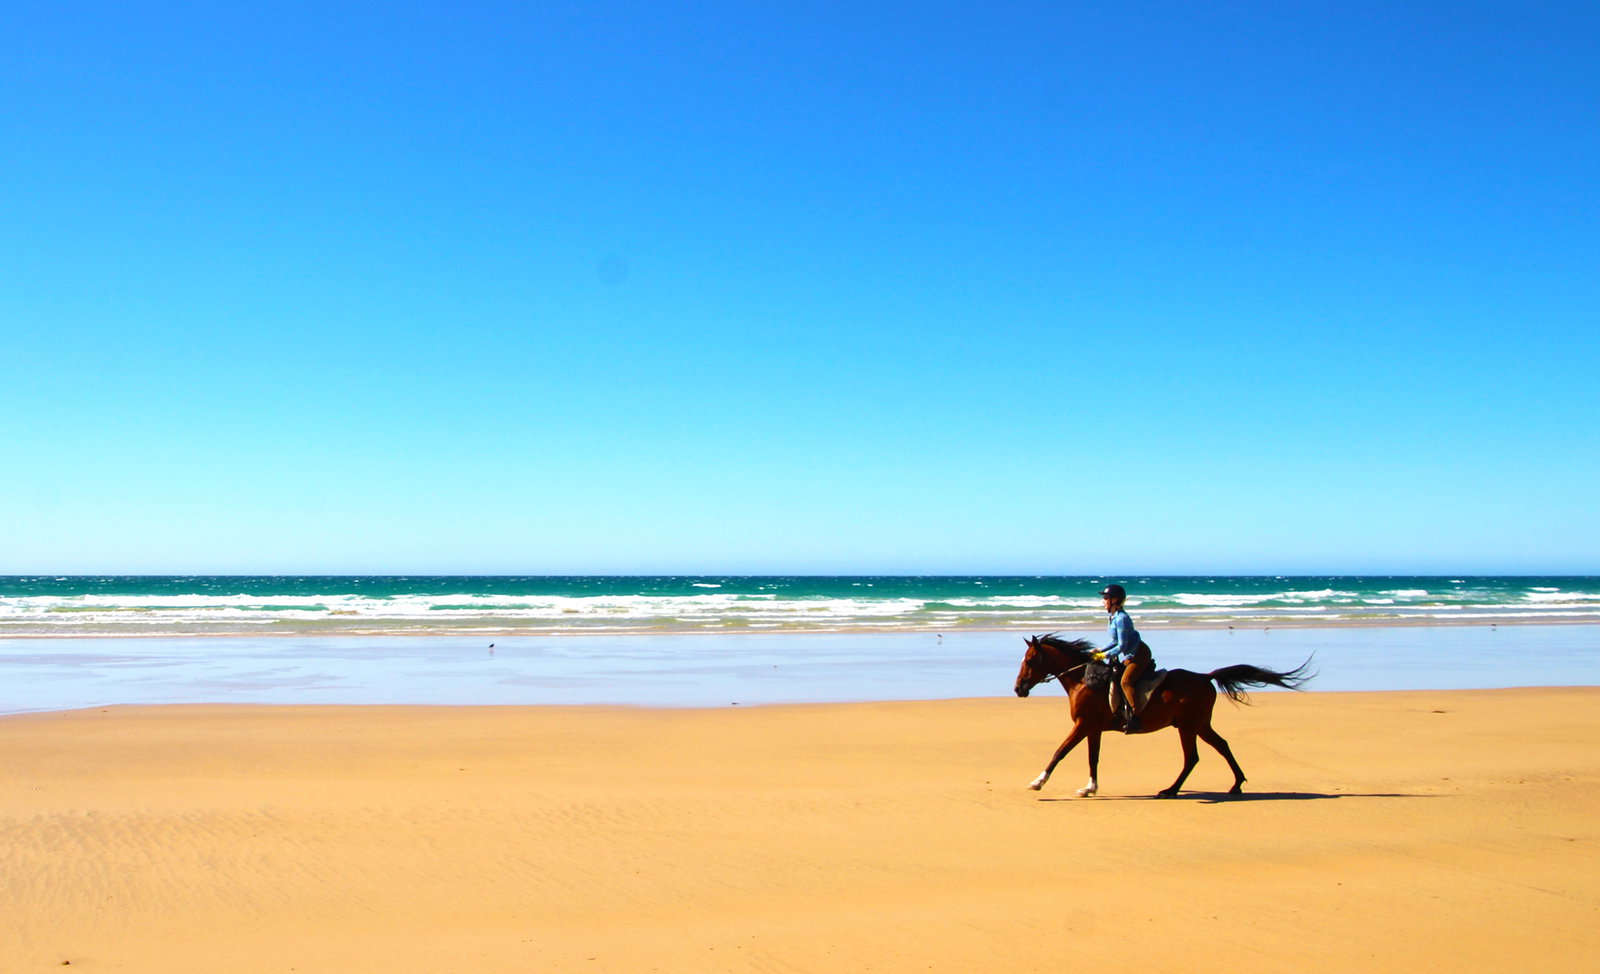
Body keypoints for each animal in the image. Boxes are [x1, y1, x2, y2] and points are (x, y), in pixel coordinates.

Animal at [1013, 634, 1313, 798]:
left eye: (1029, 661)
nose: (1018, 689)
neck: (1084, 680)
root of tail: (1206, 677)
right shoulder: (1093, 729)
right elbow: (1092, 759)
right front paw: (1089, 788)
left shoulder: (1083, 725)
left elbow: (1059, 752)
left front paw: (1037, 783)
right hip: (1199, 725)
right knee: (1222, 746)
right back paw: (1236, 784)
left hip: (1188, 727)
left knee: (1192, 758)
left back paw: (1169, 790)